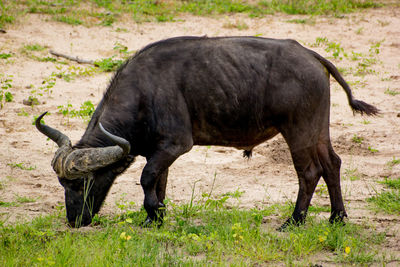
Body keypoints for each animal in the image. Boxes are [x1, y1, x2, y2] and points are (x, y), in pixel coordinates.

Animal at [35, 36, 378, 230]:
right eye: (62, 184)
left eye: (83, 182)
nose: (74, 221)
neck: (145, 92)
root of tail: (312, 56)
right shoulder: (160, 152)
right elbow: (158, 182)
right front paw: (153, 219)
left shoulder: (176, 145)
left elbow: (146, 178)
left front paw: (154, 213)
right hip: (317, 130)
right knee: (332, 164)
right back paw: (337, 218)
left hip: (299, 131)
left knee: (309, 172)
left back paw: (293, 221)